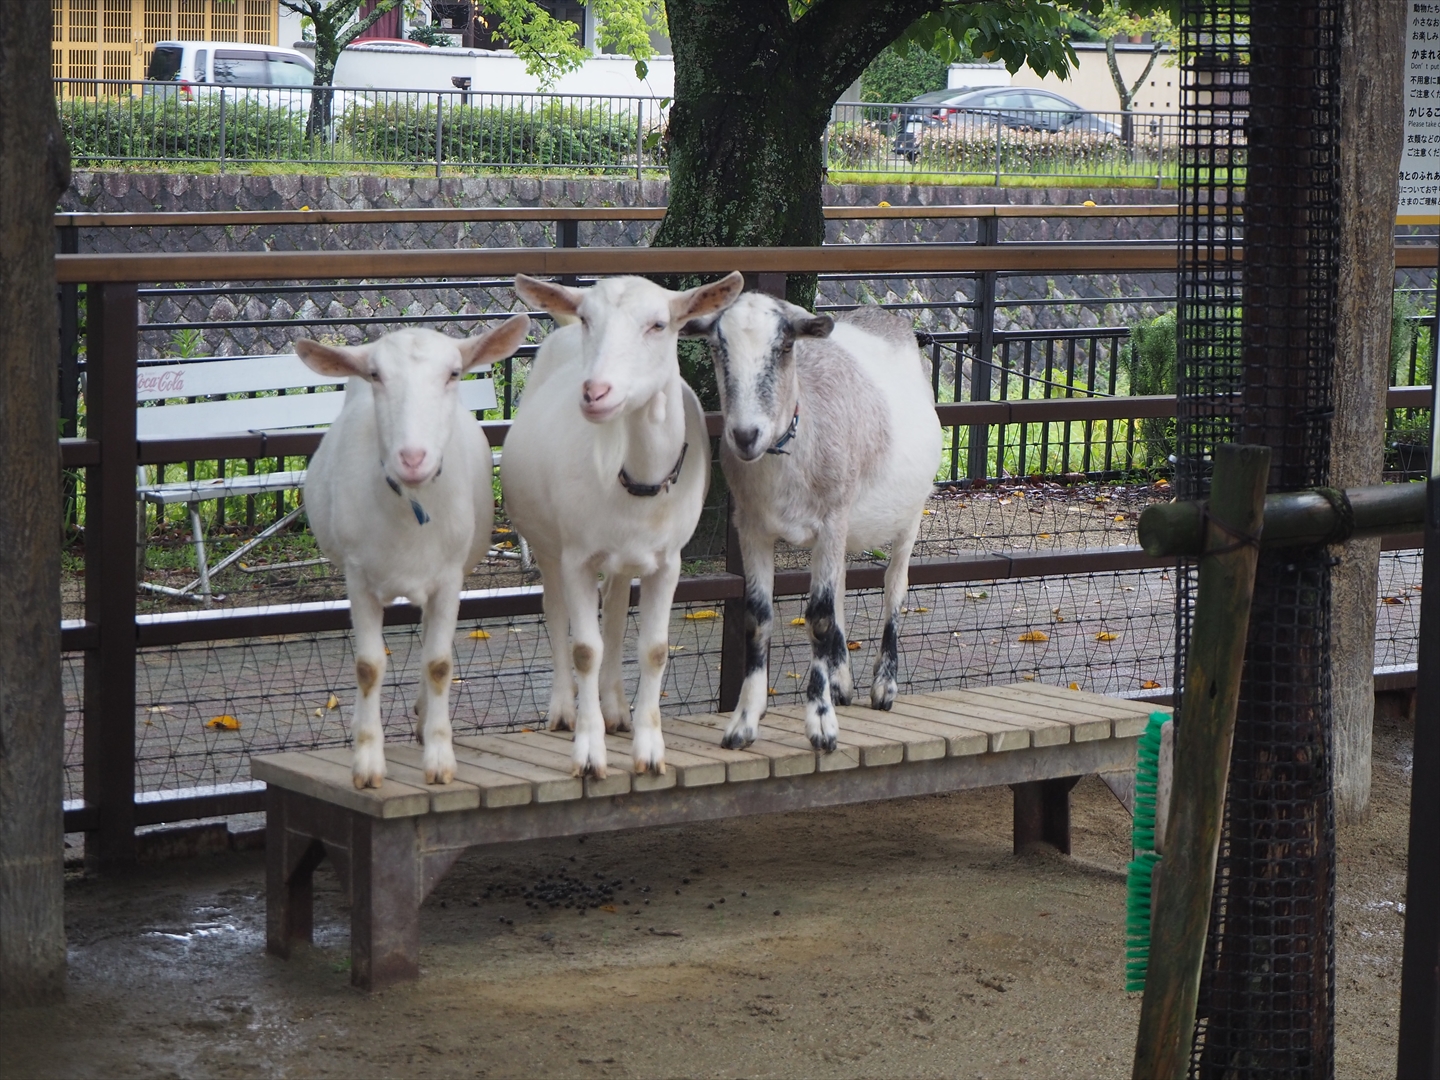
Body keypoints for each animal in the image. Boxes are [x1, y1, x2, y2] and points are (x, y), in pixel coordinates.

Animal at [295, 316, 532, 789]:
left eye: (454, 373)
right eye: (376, 375)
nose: (413, 458)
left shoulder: (449, 578)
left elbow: (438, 663)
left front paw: (439, 761)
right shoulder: (358, 577)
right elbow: (368, 666)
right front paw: (367, 765)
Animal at [501, 270, 743, 777]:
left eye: (658, 324)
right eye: (589, 319)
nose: (595, 392)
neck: (635, 479)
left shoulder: (668, 561)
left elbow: (652, 647)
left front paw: (649, 752)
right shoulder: (575, 555)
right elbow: (584, 649)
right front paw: (589, 754)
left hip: (621, 556)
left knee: (613, 610)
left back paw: (615, 710)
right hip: (547, 540)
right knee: (556, 610)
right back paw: (564, 710)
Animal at [682, 296, 944, 754]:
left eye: (785, 347)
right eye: (717, 347)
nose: (746, 435)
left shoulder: (829, 520)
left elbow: (818, 618)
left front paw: (821, 726)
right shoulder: (752, 527)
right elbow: (758, 616)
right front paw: (744, 722)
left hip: (911, 512)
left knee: (894, 584)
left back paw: (883, 686)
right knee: (839, 585)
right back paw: (841, 681)